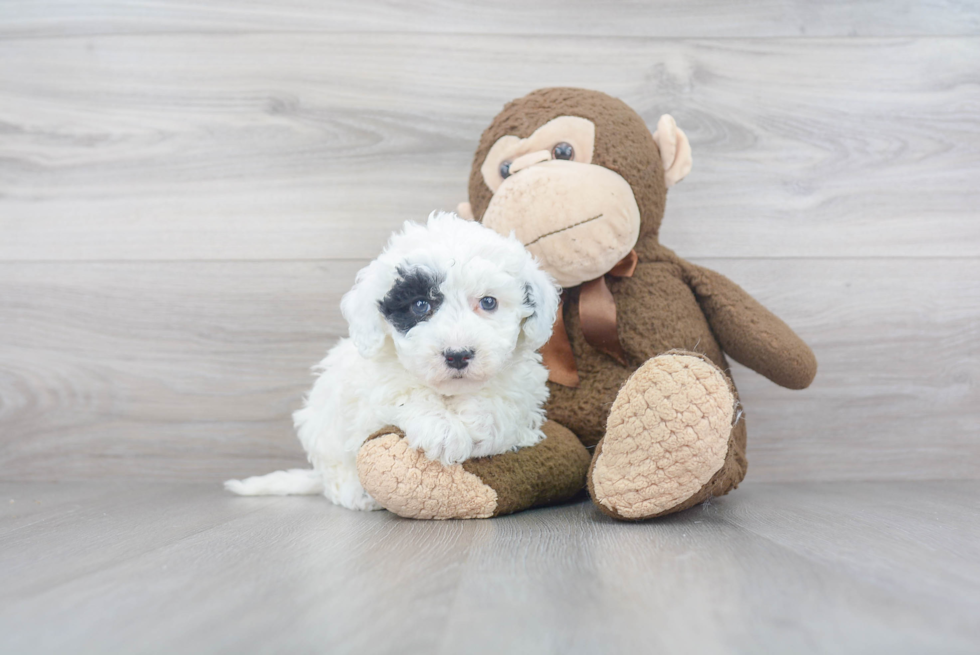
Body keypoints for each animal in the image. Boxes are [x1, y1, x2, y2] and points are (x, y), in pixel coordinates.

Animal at [224, 213, 560, 510]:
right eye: (420, 305)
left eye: (488, 302)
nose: (457, 354)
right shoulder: (373, 391)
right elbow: (405, 394)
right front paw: (444, 431)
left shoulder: (523, 390)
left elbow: (501, 406)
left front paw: (477, 425)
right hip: (323, 428)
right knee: (336, 474)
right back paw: (358, 495)